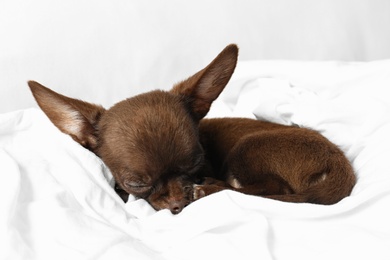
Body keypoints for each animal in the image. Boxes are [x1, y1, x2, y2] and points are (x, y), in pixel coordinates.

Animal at [28, 45, 356, 215]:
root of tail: (340, 166)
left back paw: (209, 189)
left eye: (196, 163)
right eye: (136, 182)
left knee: (271, 189)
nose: (177, 202)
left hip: (247, 148)